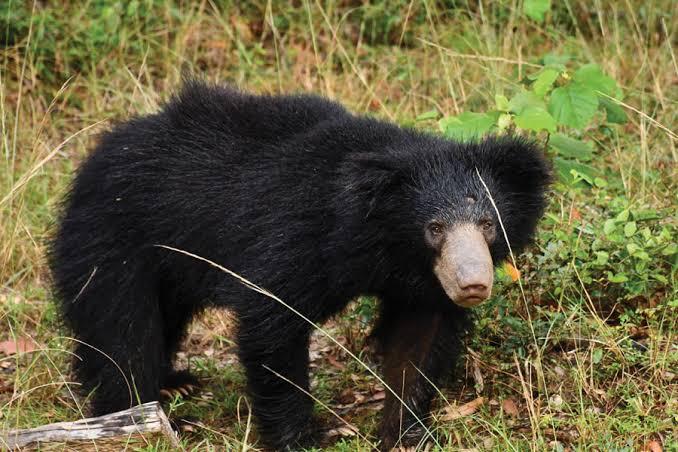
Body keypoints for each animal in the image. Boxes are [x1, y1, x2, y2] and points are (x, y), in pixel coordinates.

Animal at [49, 80, 550, 451]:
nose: (472, 285)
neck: (378, 239)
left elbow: (418, 341)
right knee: (122, 330)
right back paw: (137, 412)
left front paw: (405, 432)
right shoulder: (299, 235)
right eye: (435, 228)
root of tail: (96, 156)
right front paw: (304, 437)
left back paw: (175, 384)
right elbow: (273, 321)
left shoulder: (423, 283)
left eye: (487, 224)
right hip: (113, 238)